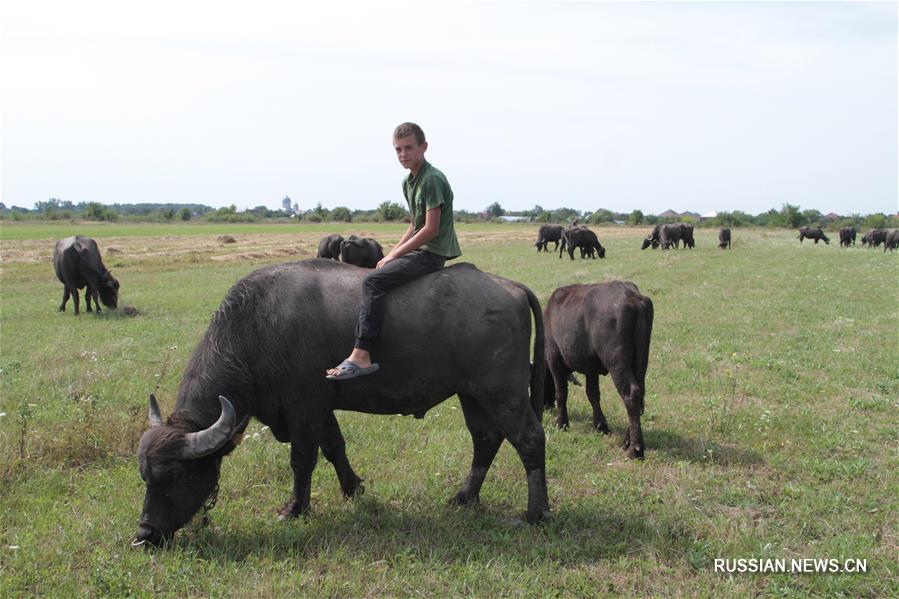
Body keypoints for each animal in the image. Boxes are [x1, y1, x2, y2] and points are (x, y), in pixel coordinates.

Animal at [134, 260, 552, 548]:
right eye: (145, 478)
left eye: (176, 477)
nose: (146, 533)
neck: (257, 328)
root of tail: (512, 287)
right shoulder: (322, 407)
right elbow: (335, 447)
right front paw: (354, 489)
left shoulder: (302, 408)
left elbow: (303, 460)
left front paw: (295, 508)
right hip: (472, 394)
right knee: (485, 439)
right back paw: (465, 497)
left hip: (504, 392)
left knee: (529, 440)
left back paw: (536, 513)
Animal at [540, 282, 652, 460]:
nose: (546, 406)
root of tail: (632, 296)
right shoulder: (591, 369)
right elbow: (593, 394)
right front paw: (601, 425)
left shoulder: (554, 362)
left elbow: (561, 393)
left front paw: (561, 423)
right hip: (640, 363)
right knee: (639, 395)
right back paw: (627, 441)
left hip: (617, 363)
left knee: (631, 394)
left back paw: (635, 449)